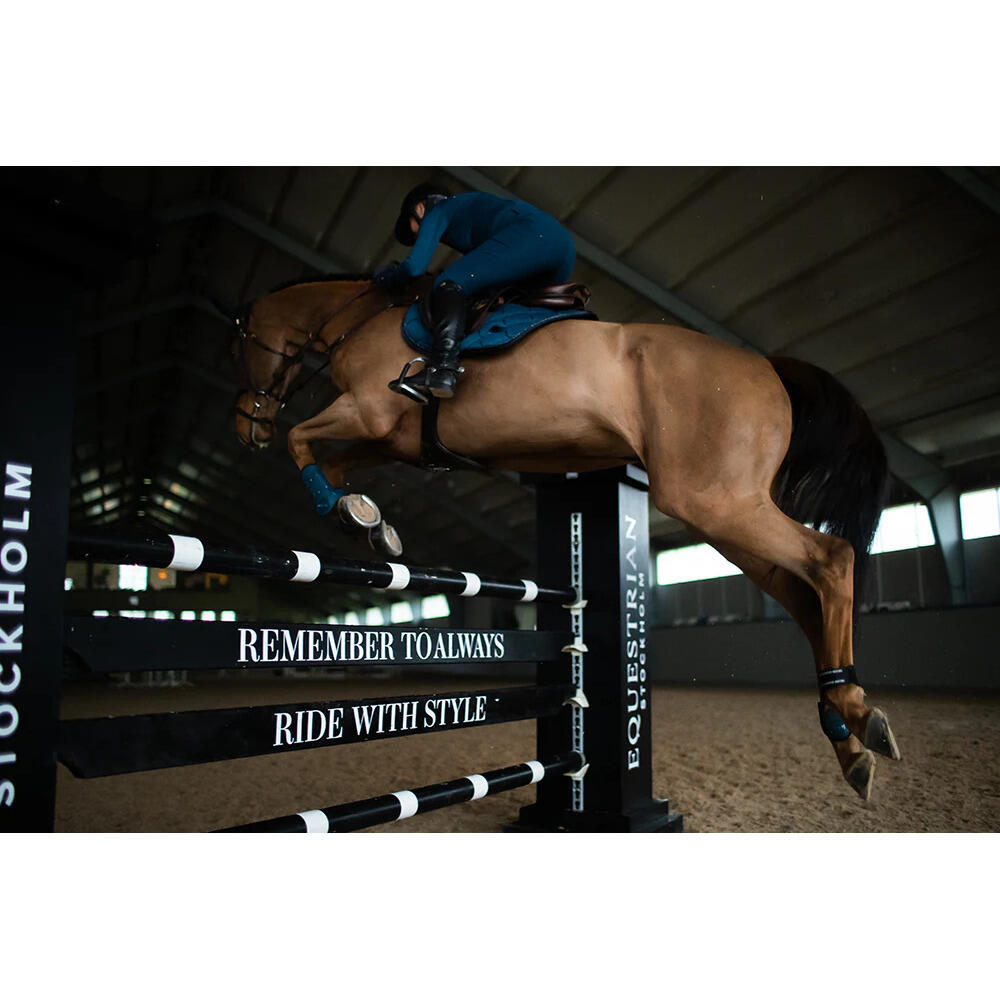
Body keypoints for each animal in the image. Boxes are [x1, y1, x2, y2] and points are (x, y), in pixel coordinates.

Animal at [230, 274, 900, 801]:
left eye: (244, 341)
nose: (247, 428)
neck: (357, 322)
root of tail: (768, 365)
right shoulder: (392, 436)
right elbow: (337, 463)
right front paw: (369, 521)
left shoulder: (367, 410)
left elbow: (302, 441)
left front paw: (345, 511)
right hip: (724, 512)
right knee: (801, 593)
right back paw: (849, 734)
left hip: (715, 500)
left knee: (831, 559)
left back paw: (853, 715)